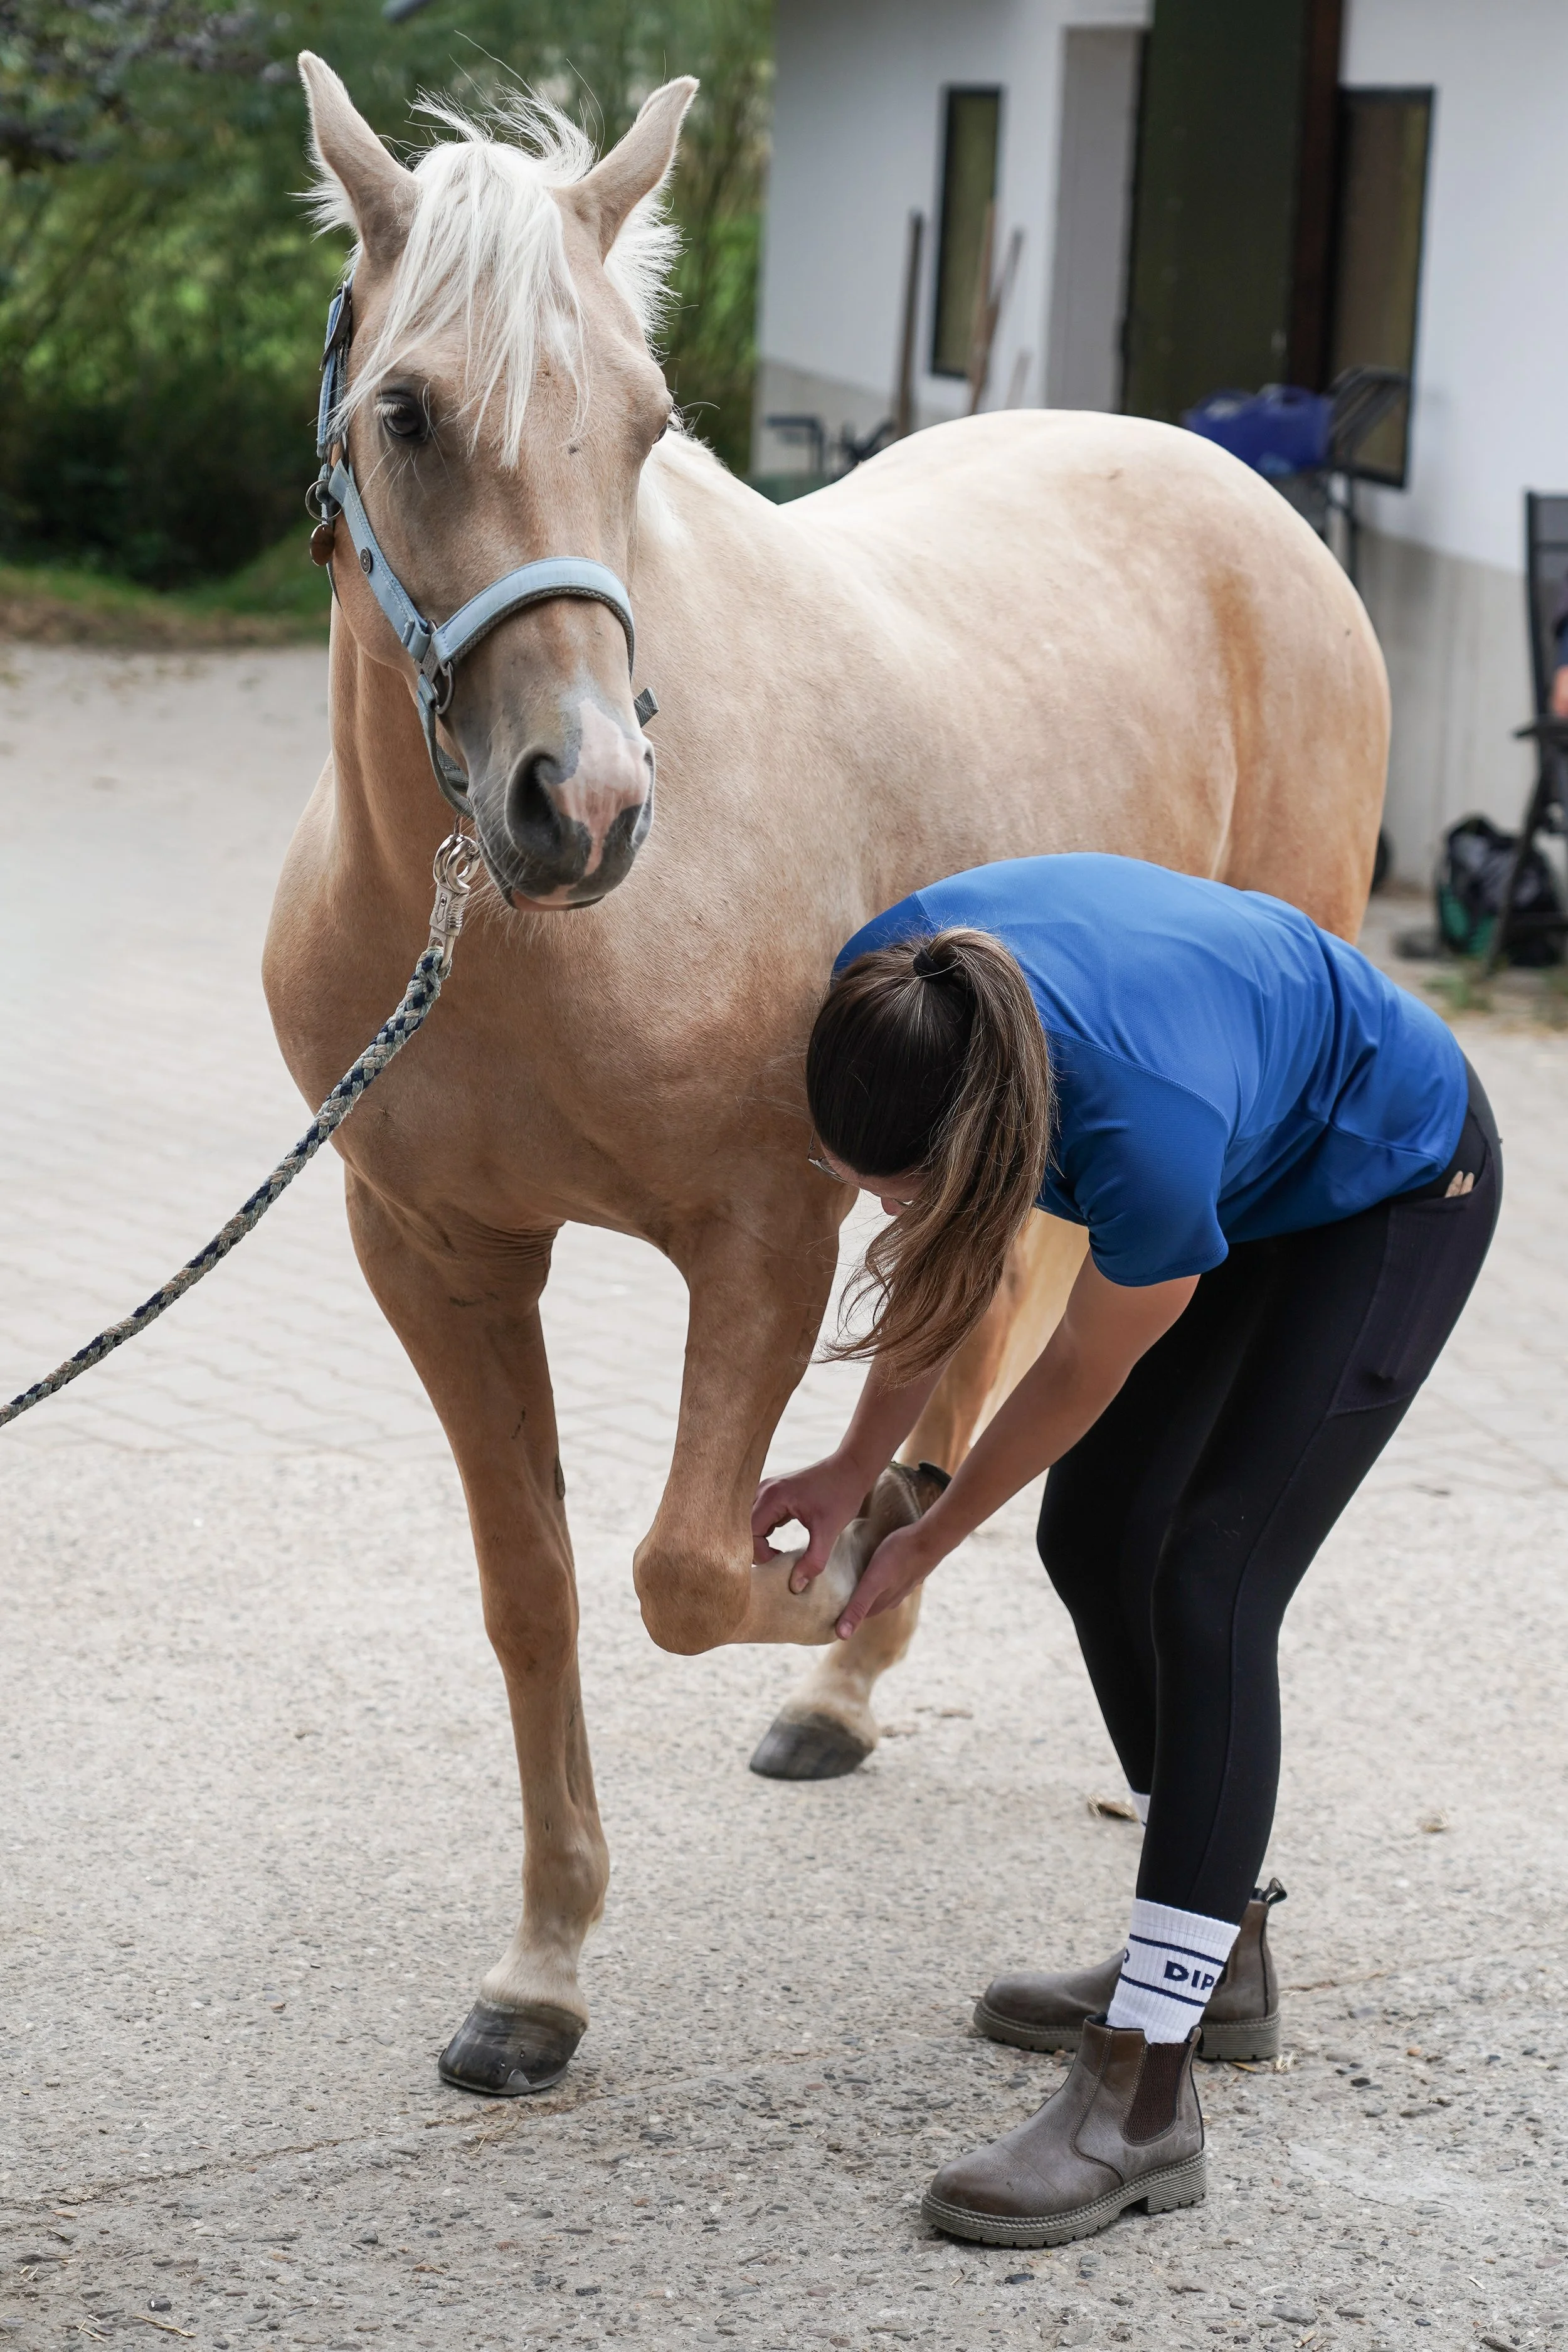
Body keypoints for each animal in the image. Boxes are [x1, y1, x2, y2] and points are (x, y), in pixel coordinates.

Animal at [262, 54, 1389, 2096]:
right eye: (405, 410)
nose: (583, 805)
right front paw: (538, 1974)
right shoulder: (436, 1252)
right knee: (988, 1324)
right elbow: (537, 1589)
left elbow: (683, 1570)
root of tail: (1244, 499)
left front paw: (822, 1558)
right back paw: (847, 1682)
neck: (524, 944)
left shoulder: (759, 1242)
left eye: (646, 423)